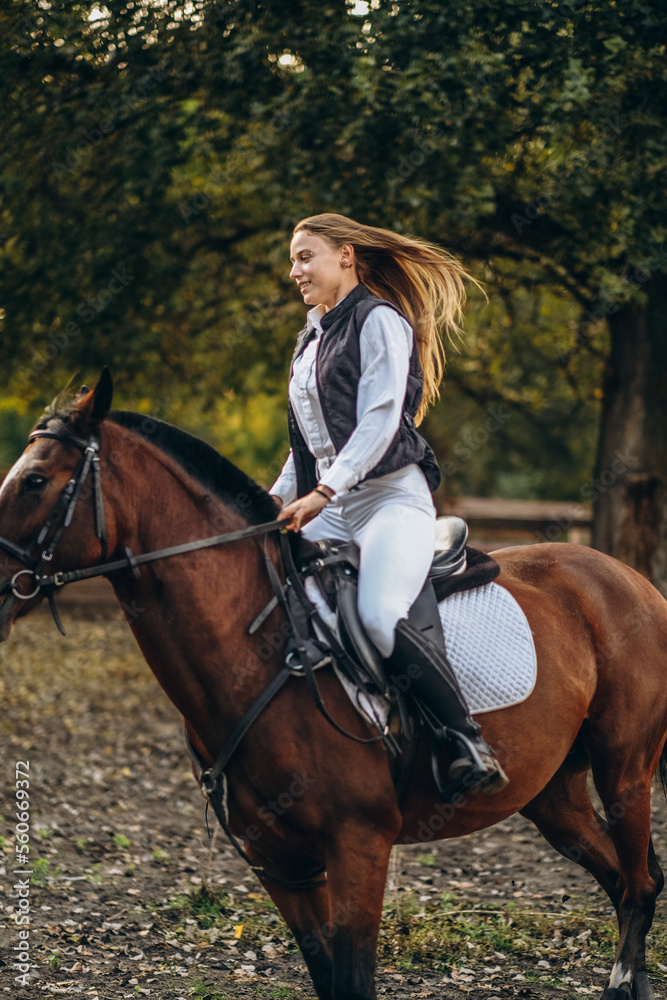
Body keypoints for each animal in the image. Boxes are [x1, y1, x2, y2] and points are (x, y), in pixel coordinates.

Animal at [0, 370, 664, 1000]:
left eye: (34, 480)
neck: (266, 649)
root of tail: (630, 578)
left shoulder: (358, 846)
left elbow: (353, 977)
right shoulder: (281, 864)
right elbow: (327, 978)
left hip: (624, 771)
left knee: (639, 882)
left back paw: (621, 981)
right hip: (552, 794)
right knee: (622, 879)